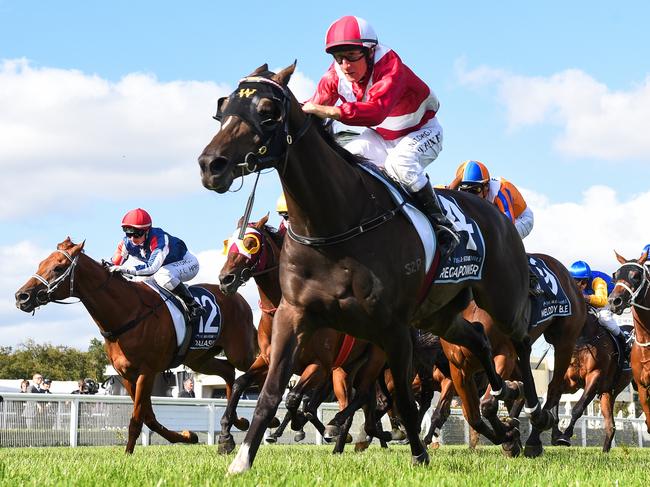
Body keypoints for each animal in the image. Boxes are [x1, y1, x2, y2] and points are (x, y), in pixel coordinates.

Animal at [13, 238, 256, 456]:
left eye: (58, 267)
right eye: (40, 264)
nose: (21, 296)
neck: (127, 312)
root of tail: (239, 299)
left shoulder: (147, 372)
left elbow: (137, 417)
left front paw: (127, 454)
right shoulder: (127, 375)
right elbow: (148, 417)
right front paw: (188, 436)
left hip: (240, 352)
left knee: (255, 369)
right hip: (199, 358)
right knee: (228, 371)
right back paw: (235, 424)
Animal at [218, 215, 388, 456]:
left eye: (251, 243)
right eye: (228, 244)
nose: (225, 279)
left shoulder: (319, 366)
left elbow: (295, 399)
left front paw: (296, 424)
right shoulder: (268, 360)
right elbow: (241, 383)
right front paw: (225, 435)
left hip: (373, 359)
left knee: (362, 395)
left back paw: (339, 427)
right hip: (346, 368)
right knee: (357, 399)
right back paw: (344, 441)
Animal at [548, 308, 632, 454]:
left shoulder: (595, 376)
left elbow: (578, 408)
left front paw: (566, 436)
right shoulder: (569, 382)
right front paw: (555, 435)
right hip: (608, 393)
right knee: (611, 425)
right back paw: (604, 453)